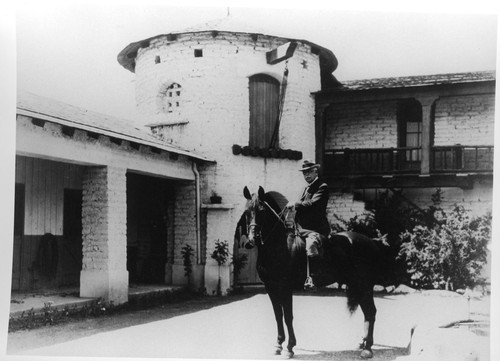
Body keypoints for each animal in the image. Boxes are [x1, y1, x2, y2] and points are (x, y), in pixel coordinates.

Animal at [243, 186, 394, 358]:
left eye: (261, 210)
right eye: (247, 211)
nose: (252, 239)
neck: (278, 245)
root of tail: (372, 241)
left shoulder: (285, 287)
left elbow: (288, 316)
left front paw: (289, 347)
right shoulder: (271, 287)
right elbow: (278, 315)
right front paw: (278, 344)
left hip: (364, 285)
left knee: (371, 312)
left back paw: (367, 348)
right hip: (358, 286)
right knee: (367, 313)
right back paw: (363, 343)